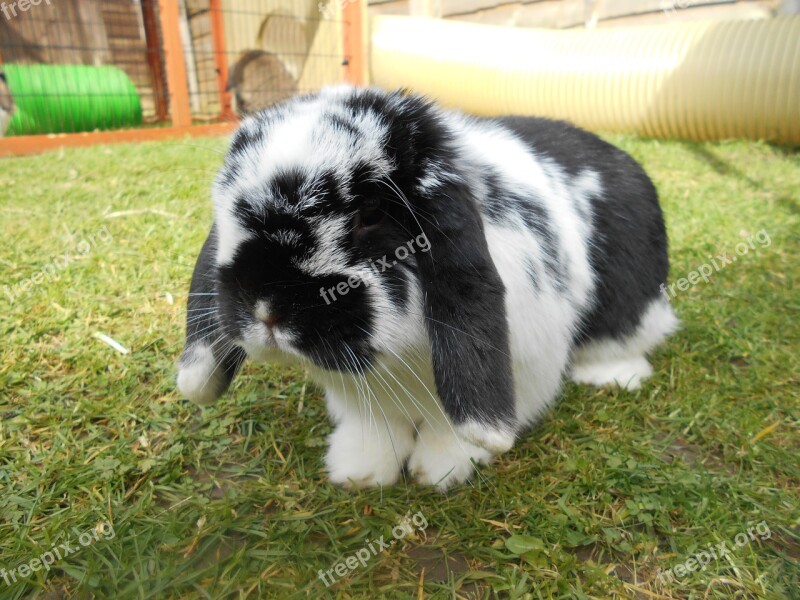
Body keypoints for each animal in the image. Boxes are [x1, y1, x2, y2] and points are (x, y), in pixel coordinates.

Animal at [178, 85, 680, 488]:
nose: (266, 308)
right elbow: (374, 427)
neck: (399, 358)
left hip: (633, 302)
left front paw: (439, 469)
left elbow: (452, 426)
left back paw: (613, 375)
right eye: (226, 210)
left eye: (370, 214)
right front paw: (358, 472)